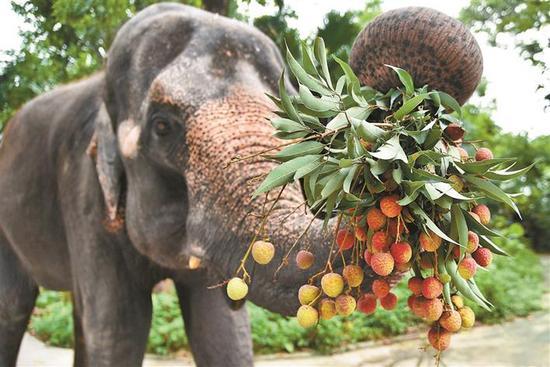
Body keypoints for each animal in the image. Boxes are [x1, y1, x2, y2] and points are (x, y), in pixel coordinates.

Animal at [0, 3, 480, 367]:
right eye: (161, 127)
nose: (395, 115)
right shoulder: (85, 196)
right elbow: (120, 328)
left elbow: (222, 331)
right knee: (16, 306)